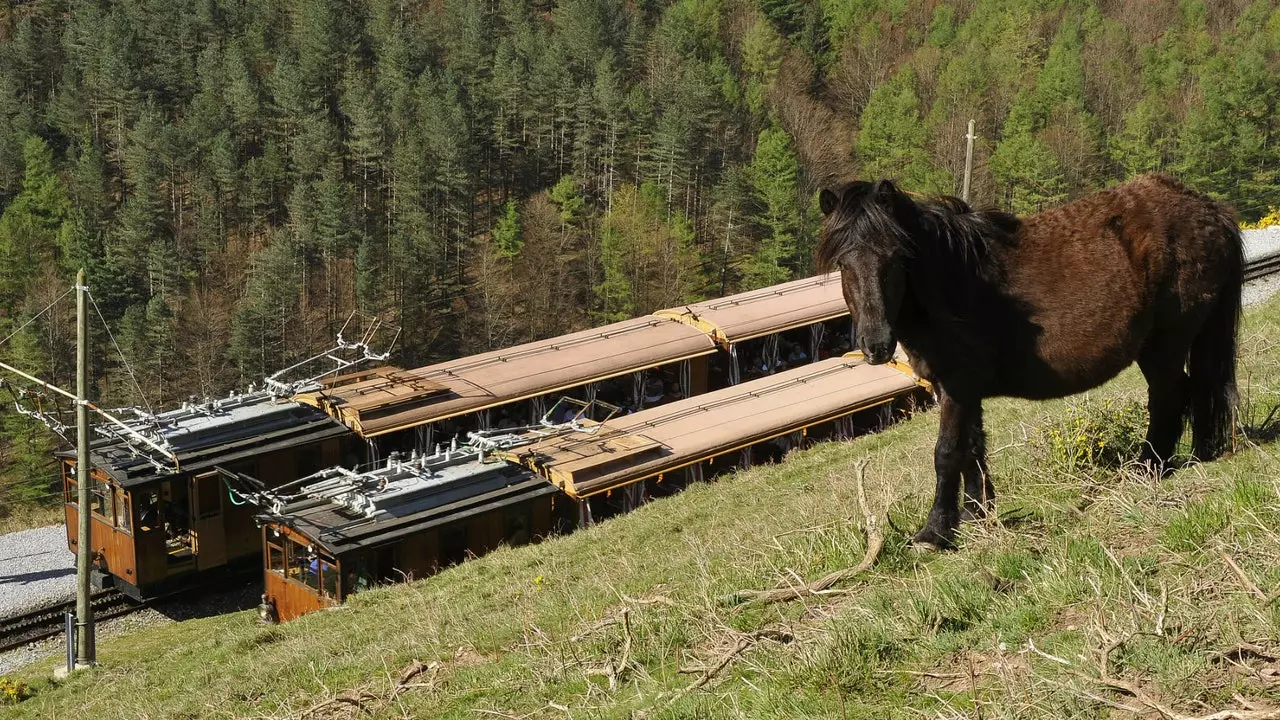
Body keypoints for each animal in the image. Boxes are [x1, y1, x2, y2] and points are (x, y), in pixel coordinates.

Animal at [819, 170, 1239, 545]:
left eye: (895, 258)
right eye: (843, 265)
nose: (876, 345)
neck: (953, 281)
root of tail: (1208, 208)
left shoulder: (957, 387)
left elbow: (947, 453)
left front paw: (935, 532)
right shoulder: (964, 391)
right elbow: (973, 449)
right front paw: (975, 515)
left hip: (1165, 343)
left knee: (1169, 399)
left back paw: (1148, 467)